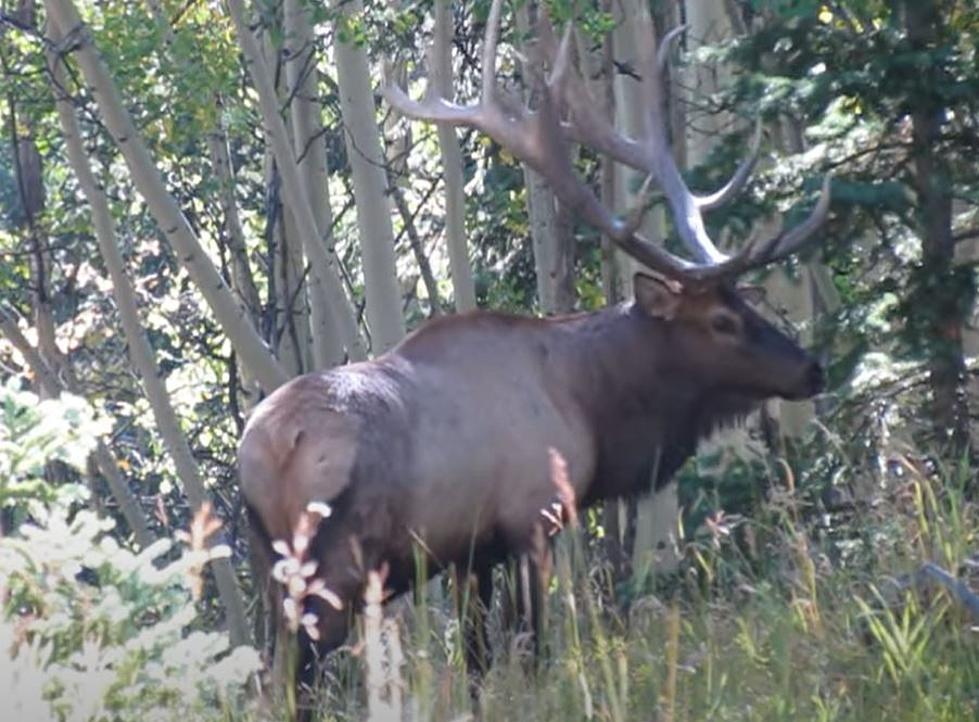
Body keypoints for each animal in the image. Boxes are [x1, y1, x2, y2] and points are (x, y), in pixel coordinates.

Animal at [241, 0, 832, 708]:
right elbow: (533, 651)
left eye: (747, 303)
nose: (811, 367)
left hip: (269, 567)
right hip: (330, 568)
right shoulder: (533, 520)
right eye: (722, 321)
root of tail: (271, 447)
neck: (592, 406)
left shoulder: (469, 552)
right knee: (297, 682)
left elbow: (475, 660)